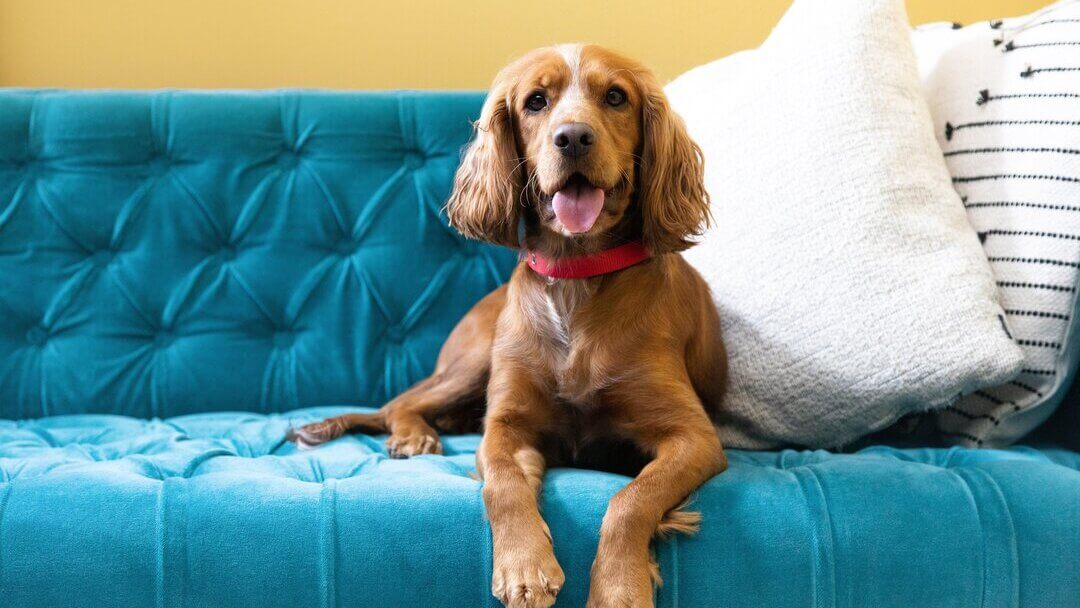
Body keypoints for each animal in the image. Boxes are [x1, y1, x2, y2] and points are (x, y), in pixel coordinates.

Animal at [291, 44, 730, 608]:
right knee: (399, 405)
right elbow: (500, 482)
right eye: (535, 101)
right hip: (475, 360)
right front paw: (524, 566)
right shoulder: (506, 424)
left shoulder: (693, 437)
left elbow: (631, 498)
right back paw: (414, 436)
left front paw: (619, 587)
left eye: (616, 97)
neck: (575, 277)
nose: (573, 137)